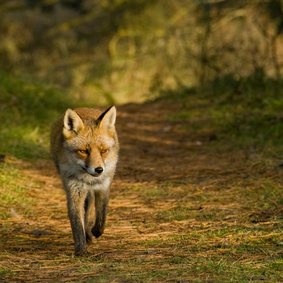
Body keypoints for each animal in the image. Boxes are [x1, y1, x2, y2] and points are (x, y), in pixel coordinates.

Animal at [50, 106, 118, 258]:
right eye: (83, 151)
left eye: (103, 151)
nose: (99, 169)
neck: (89, 180)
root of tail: (84, 108)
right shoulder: (74, 190)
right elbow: (77, 222)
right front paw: (81, 248)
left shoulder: (104, 187)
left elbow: (101, 217)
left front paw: (96, 231)